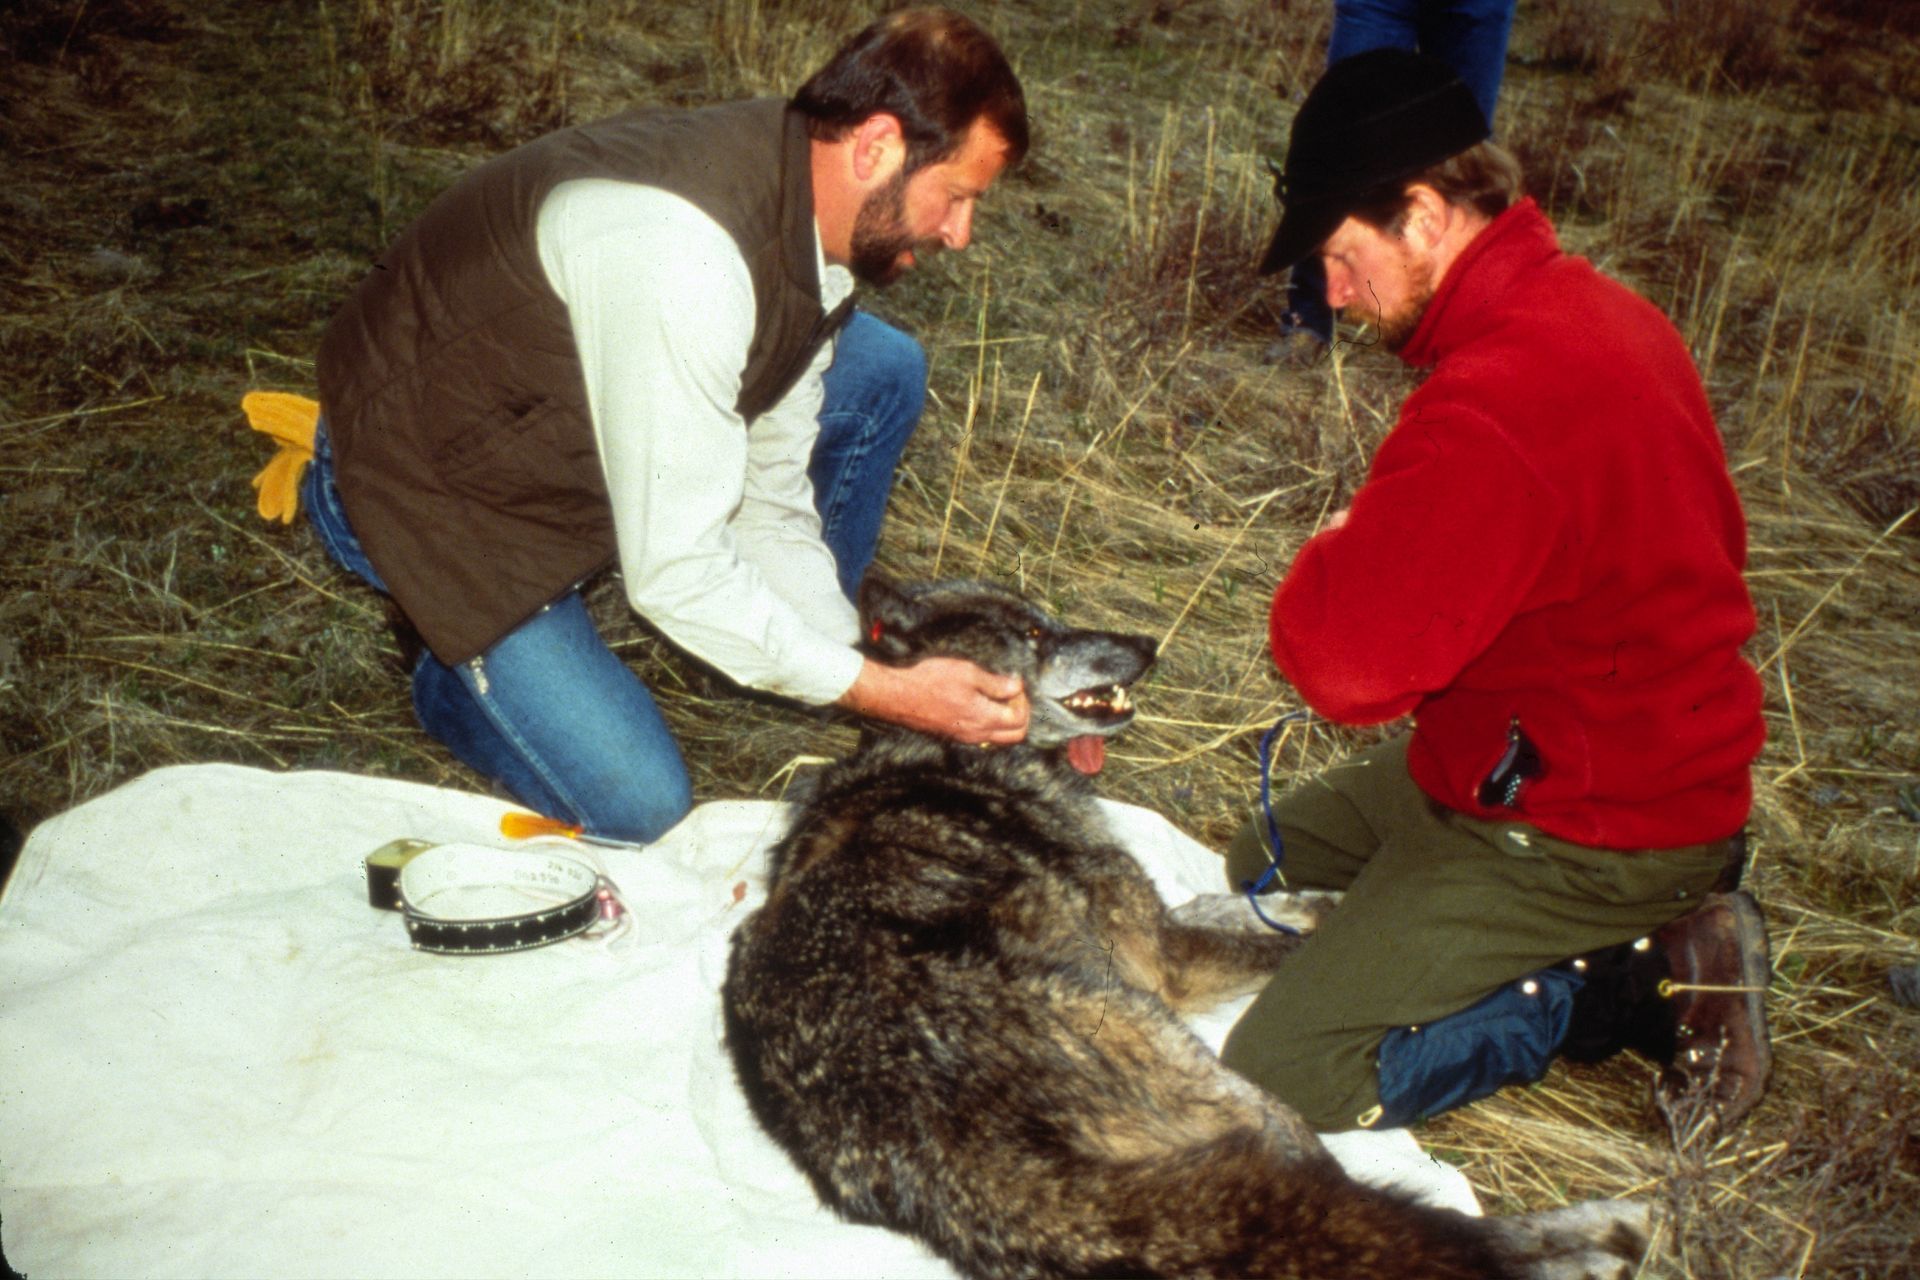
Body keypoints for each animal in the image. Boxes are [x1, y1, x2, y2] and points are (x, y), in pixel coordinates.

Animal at [721, 579, 1651, 1280]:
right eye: (1033, 632)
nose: (1146, 643)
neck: (957, 751)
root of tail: (961, 1157)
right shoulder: (1163, 961)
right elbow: (1284, 938)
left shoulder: (1164, 923)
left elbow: (1268, 905)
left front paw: (1324, 896)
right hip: (1235, 1093)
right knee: (1391, 1229)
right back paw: (1603, 1232)